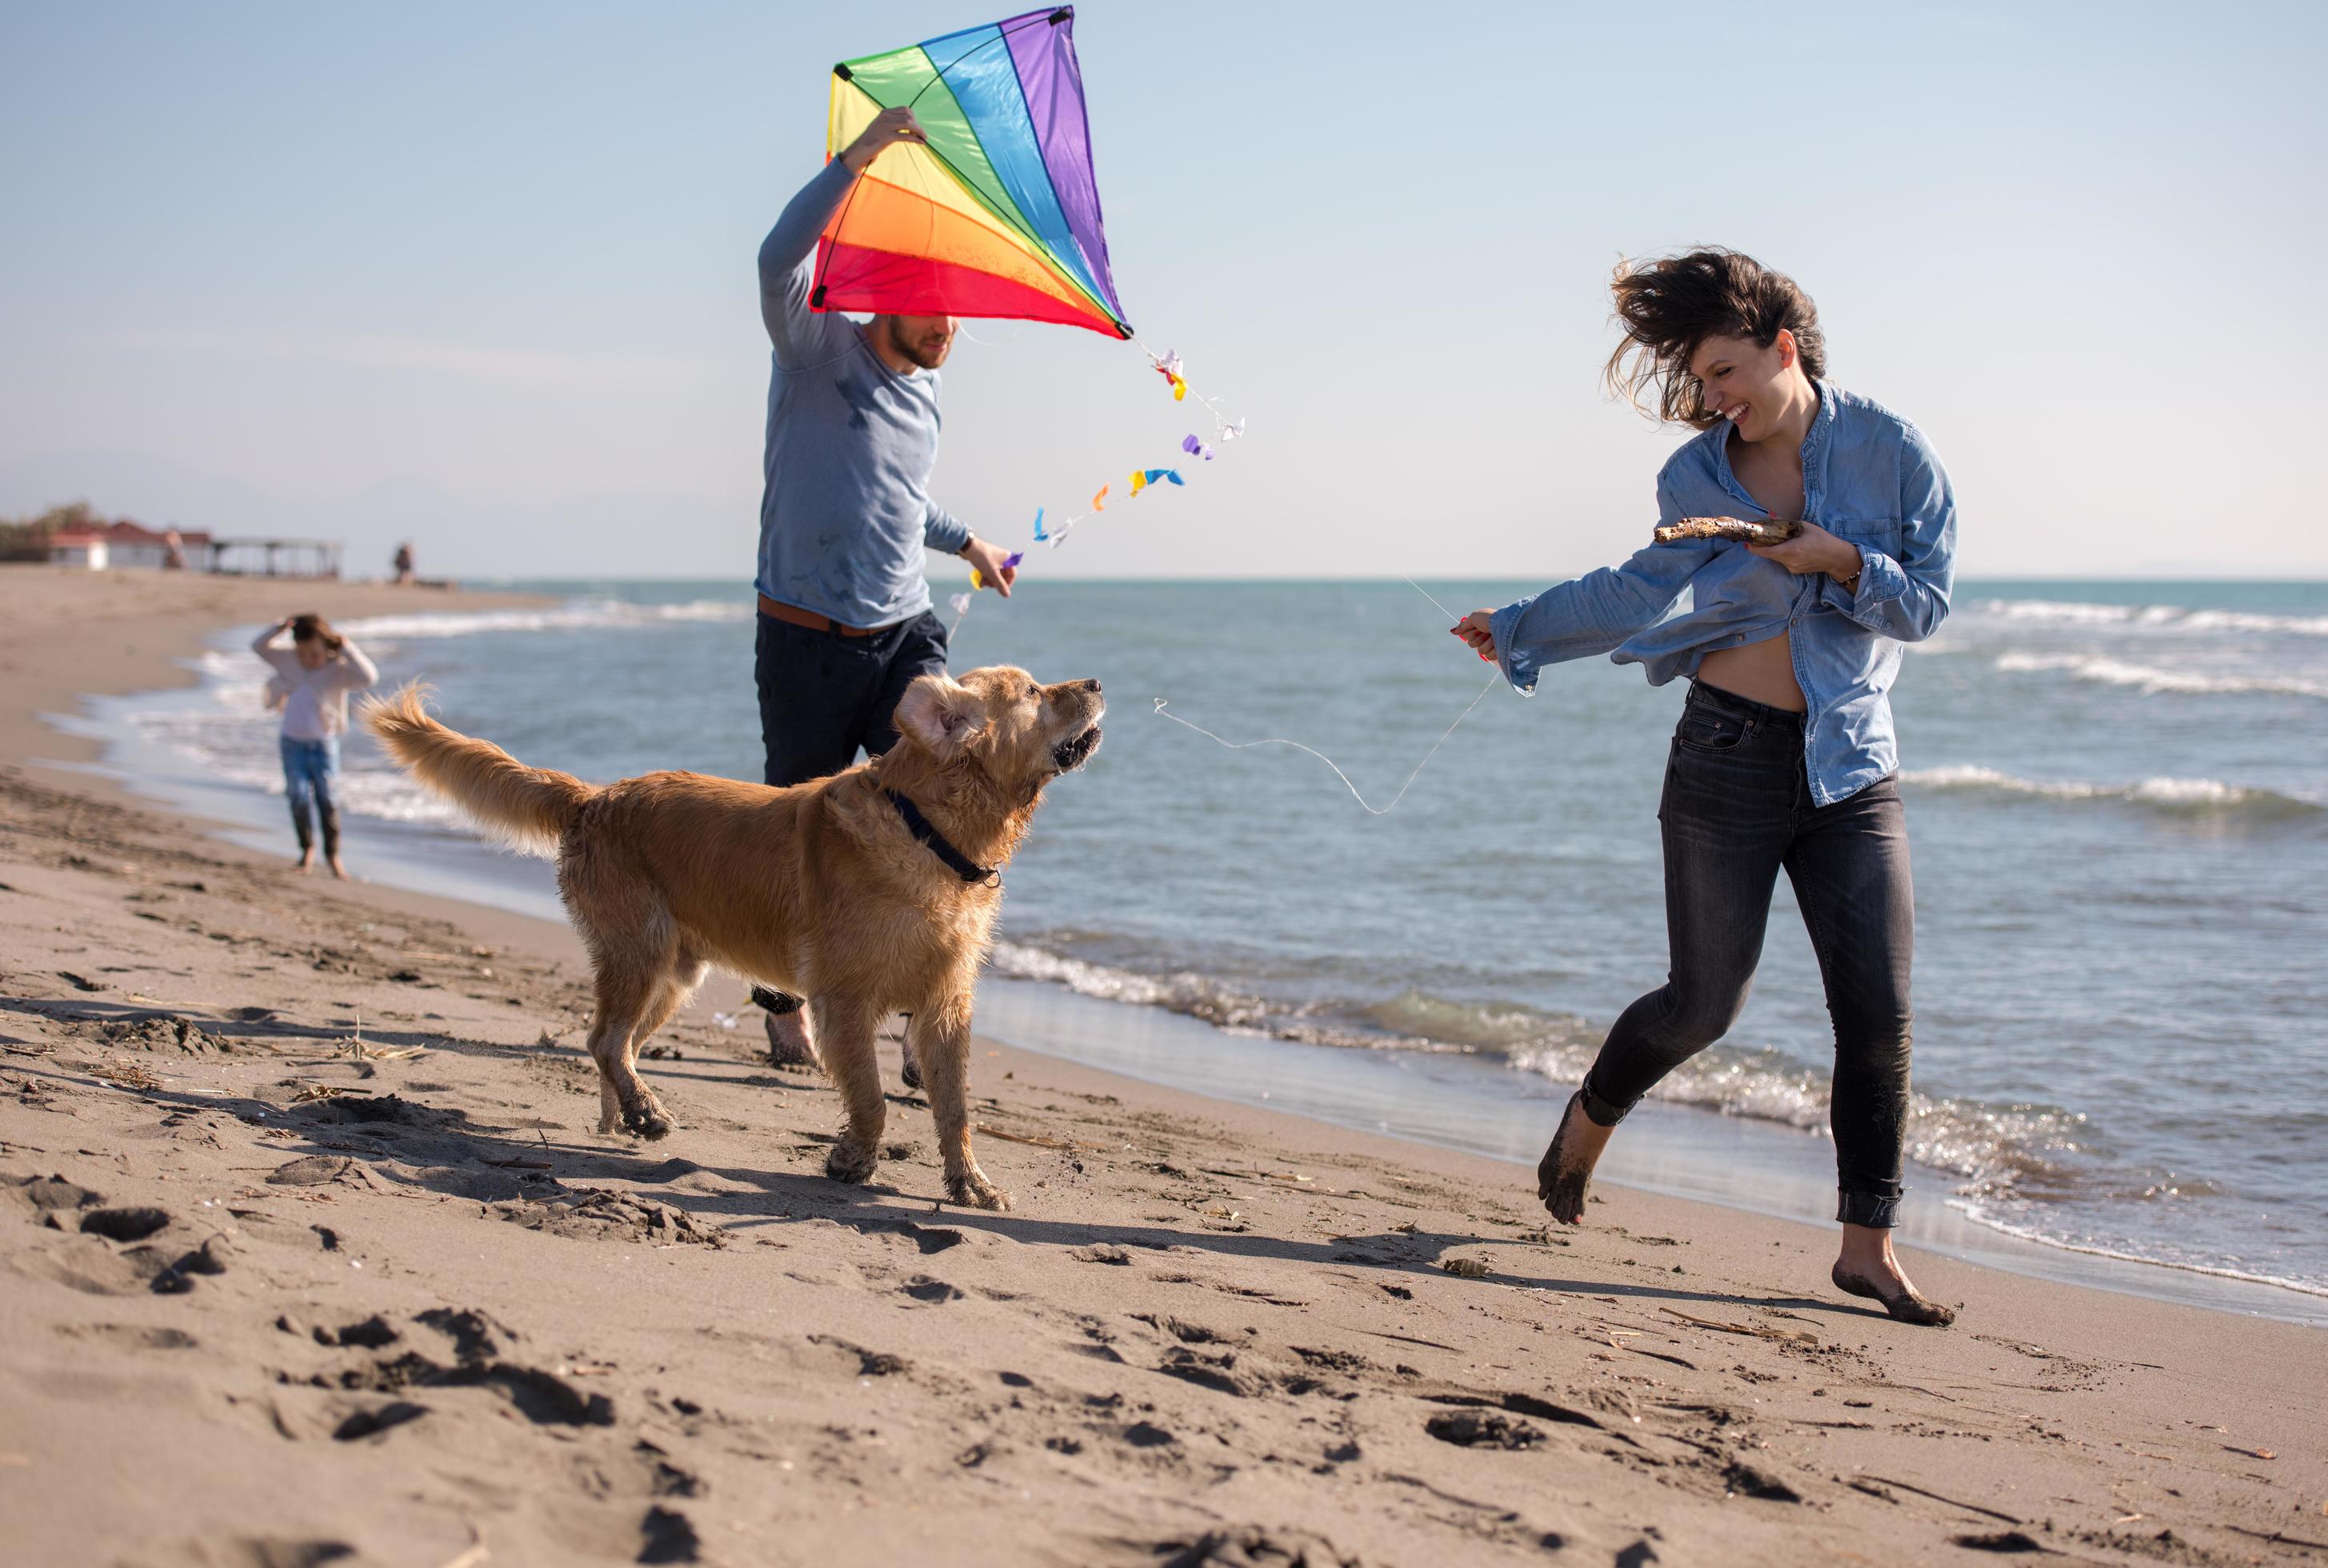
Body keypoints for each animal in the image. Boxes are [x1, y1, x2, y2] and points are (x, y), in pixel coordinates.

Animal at [358, 660, 1103, 1210]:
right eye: (1033, 692)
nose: (1097, 683)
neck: (927, 831)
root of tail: (594, 798)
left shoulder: (947, 1007)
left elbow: (954, 1110)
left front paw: (970, 1183)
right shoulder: (843, 1002)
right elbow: (869, 1097)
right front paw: (853, 1159)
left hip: (671, 975)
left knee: (612, 1045)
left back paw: (622, 1118)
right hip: (641, 954)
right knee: (603, 1039)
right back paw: (643, 1111)